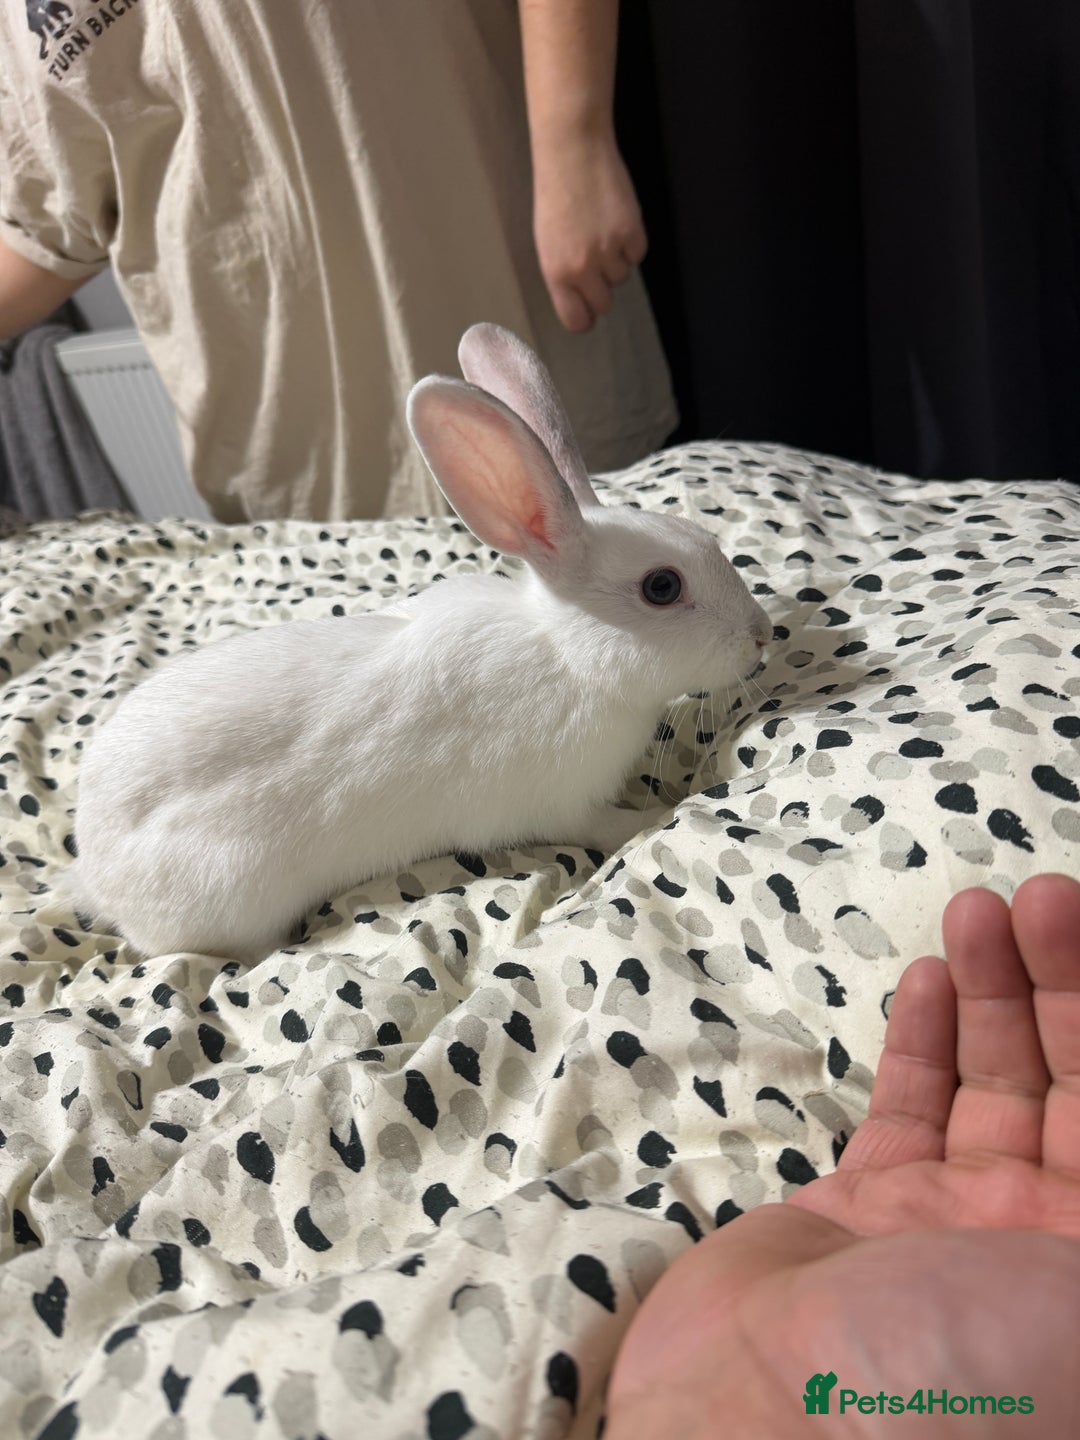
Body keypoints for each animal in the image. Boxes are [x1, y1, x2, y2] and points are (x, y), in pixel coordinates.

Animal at [66, 323, 771, 963]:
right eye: (661, 587)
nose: (762, 635)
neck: (569, 656)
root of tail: (96, 876)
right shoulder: (563, 806)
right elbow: (608, 827)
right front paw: (664, 807)